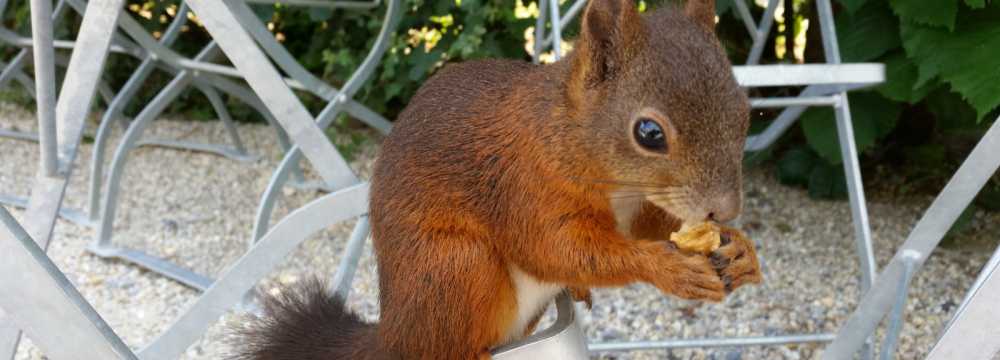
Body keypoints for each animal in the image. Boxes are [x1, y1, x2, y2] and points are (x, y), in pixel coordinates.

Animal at [236, 0, 756, 358]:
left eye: (746, 109)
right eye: (649, 133)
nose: (727, 208)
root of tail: (394, 333)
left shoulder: (639, 205)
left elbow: (647, 226)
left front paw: (741, 249)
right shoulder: (522, 183)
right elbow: (554, 247)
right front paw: (668, 267)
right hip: (455, 266)